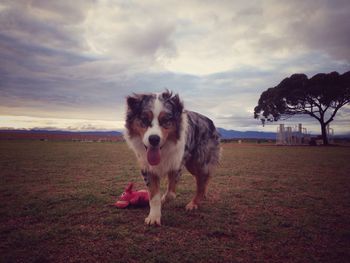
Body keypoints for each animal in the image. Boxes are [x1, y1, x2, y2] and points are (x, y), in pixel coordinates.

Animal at [124, 90, 220, 225]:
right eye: (144, 119)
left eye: (165, 120)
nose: (154, 139)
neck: (162, 150)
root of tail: (210, 121)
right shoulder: (147, 168)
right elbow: (154, 196)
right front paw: (154, 216)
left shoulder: (176, 165)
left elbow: (171, 194)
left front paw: (163, 199)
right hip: (192, 166)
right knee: (204, 178)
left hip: (200, 162)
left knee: (202, 181)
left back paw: (193, 204)